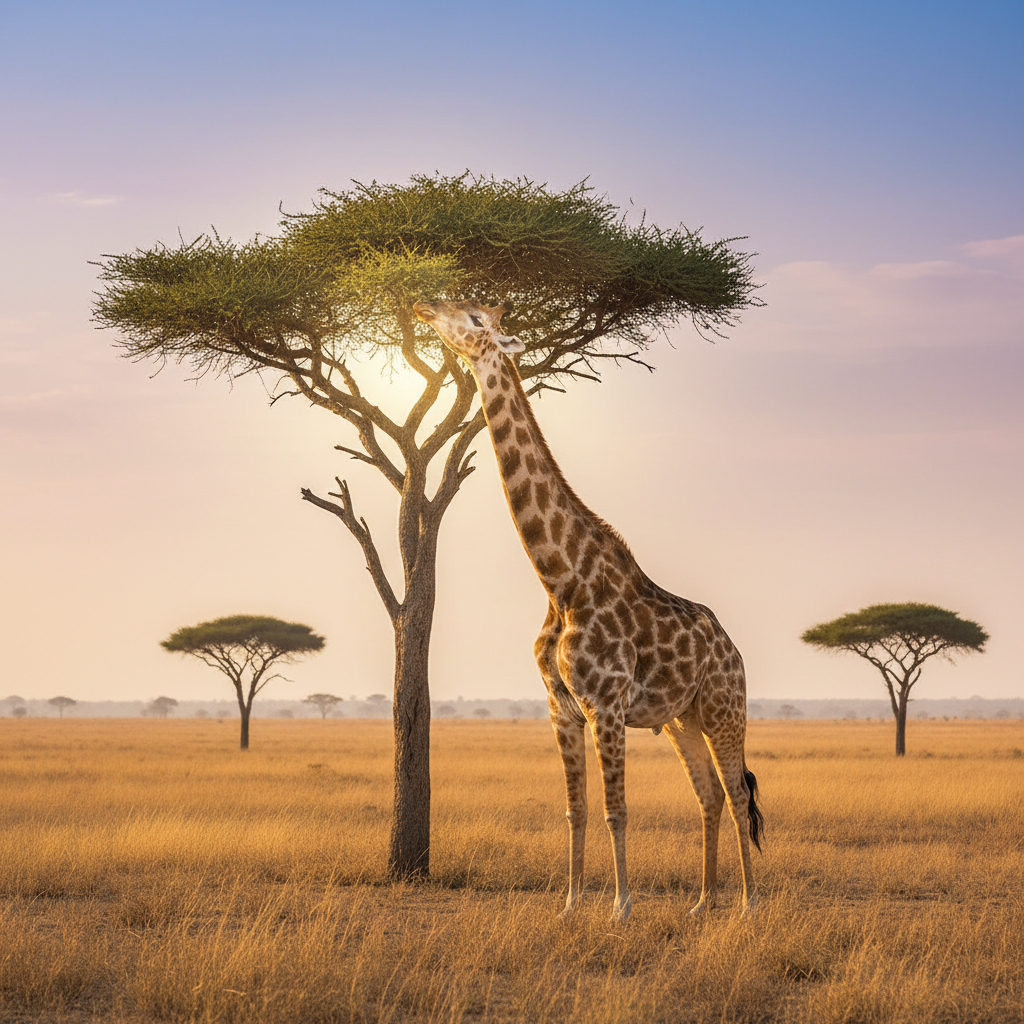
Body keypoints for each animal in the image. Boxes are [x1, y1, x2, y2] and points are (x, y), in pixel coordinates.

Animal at [414, 298, 764, 923]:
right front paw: (571, 904)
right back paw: (702, 903)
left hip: (726, 708)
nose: (423, 303)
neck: (560, 580)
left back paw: (749, 904)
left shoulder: (607, 706)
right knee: (709, 793)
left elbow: (615, 810)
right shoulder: (561, 708)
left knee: (738, 790)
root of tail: (732, 648)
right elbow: (575, 810)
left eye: (475, 318)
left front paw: (620, 907)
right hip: (684, 718)